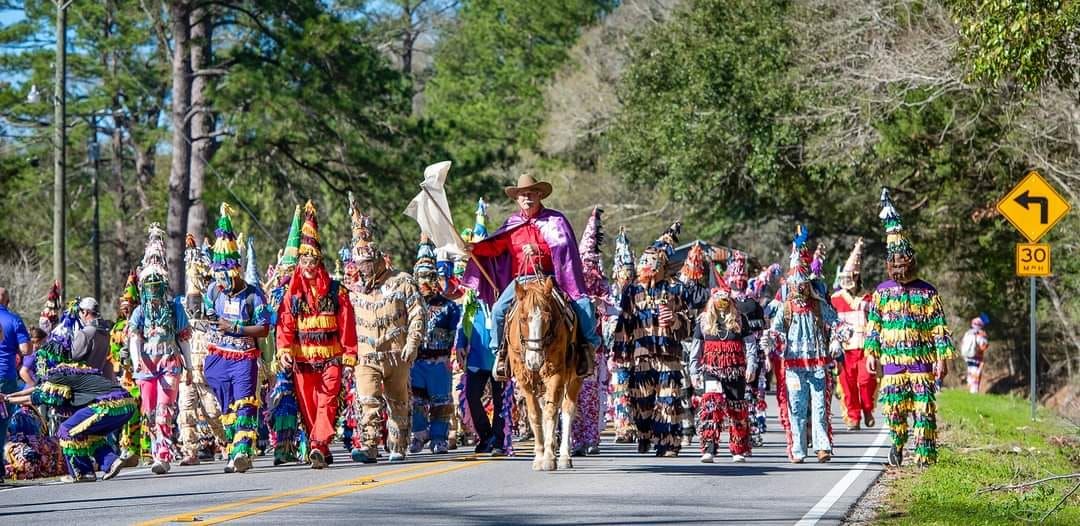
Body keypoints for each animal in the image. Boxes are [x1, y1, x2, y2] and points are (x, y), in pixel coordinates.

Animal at [505, 278, 583, 470]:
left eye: (548, 319)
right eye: (523, 319)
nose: (534, 361)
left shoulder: (555, 375)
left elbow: (551, 412)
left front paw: (548, 458)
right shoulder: (524, 379)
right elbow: (535, 415)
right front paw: (539, 456)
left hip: (574, 379)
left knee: (567, 410)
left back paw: (564, 456)